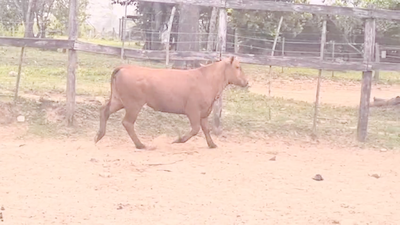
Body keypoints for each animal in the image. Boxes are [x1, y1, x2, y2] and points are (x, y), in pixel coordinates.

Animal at [95, 55, 248, 149]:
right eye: (237, 67)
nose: (246, 82)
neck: (206, 78)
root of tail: (125, 67)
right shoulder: (193, 110)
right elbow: (195, 129)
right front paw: (178, 140)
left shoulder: (204, 112)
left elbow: (206, 129)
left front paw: (212, 144)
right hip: (134, 104)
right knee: (127, 122)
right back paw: (140, 145)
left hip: (118, 100)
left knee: (104, 110)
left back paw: (99, 136)